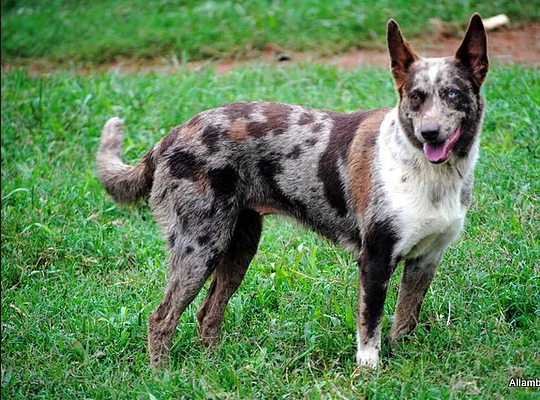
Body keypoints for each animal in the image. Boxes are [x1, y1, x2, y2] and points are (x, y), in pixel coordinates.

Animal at [97, 12, 490, 368]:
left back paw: (215, 367)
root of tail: (169, 138)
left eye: (452, 94)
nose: (430, 133)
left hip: (239, 246)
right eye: (415, 96)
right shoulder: (374, 259)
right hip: (199, 247)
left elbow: (404, 323)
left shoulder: (425, 260)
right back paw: (162, 376)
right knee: (161, 318)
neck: (429, 173)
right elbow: (370, 331)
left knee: (207, 313)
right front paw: (369, 374)